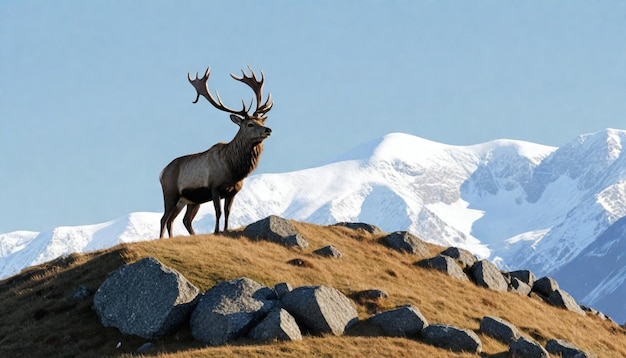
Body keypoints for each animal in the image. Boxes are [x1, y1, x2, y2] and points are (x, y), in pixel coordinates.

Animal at [157, 65, 272, 238]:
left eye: (261, 121)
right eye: (250, 124)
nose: (268, 129)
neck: (234, 168)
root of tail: (162, 172)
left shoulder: (233, 192)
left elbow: (228, 212)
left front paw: (226, 230)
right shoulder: (214, 187)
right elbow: (218, 212)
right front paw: (216, 231)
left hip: (189, 200)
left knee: (180, 220)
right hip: (171, 193)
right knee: (164, 219)